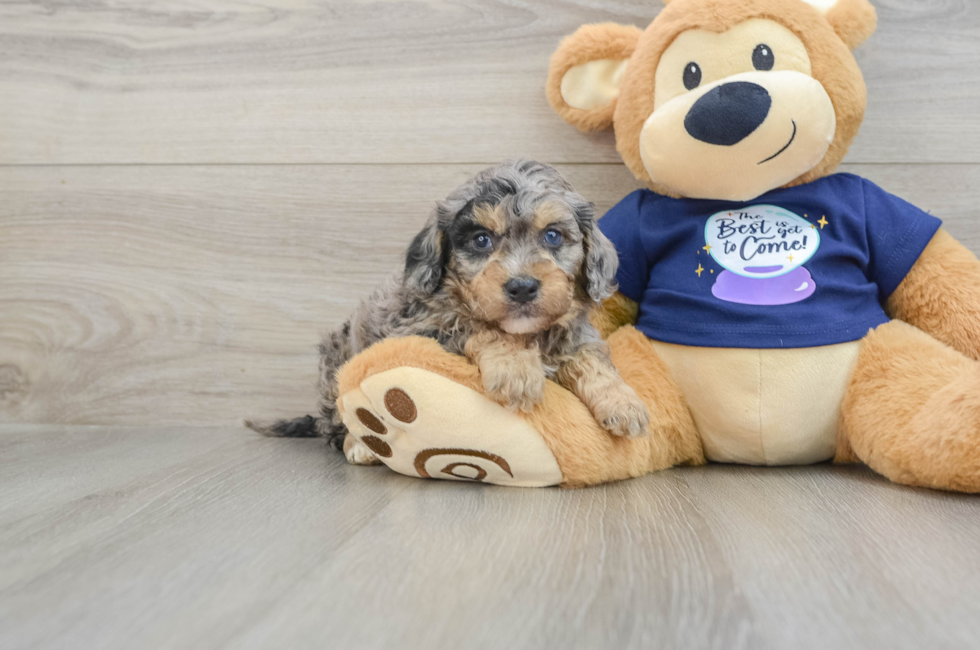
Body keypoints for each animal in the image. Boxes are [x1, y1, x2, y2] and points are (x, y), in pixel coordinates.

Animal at [256, 159, 648, 464]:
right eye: (481, 240)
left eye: (552, 236)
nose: (522, 287)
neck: (528, 332)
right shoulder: (425, 326)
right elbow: (479, 326)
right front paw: (516, 370)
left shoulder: (575, 333)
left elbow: (592, 359)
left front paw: (623, 403)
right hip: (336, 365)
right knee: (338, 422)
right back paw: (362, 445)